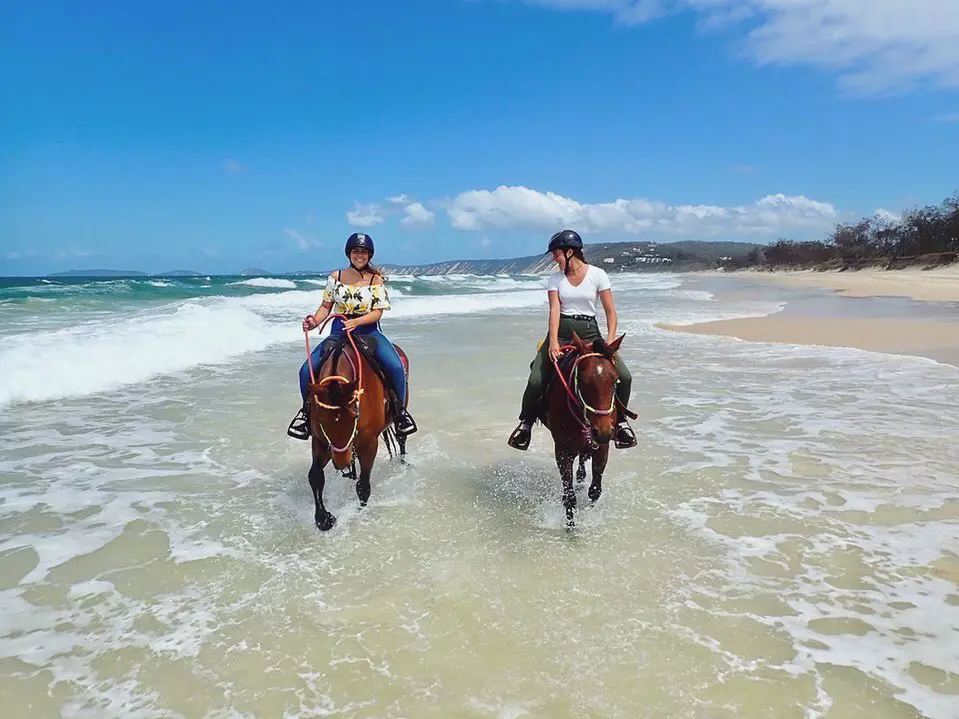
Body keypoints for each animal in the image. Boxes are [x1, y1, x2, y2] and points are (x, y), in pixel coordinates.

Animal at [304, 330, 408, 532]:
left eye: (354, 416)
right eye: (320, 419)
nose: (340, 462)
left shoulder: (369, 443)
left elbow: (363, 485)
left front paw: (359, 513)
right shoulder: (320, 440)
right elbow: (315, 476)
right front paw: (323, 519)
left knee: (401, 438)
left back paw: (403, 463)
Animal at [540, 332, 632, 528]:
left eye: (616, 380)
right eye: (581, 380)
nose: (602, 431)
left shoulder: (603, 447)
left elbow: (595, 491)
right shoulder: (562, 449)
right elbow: (569, 496)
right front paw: (570, 527)